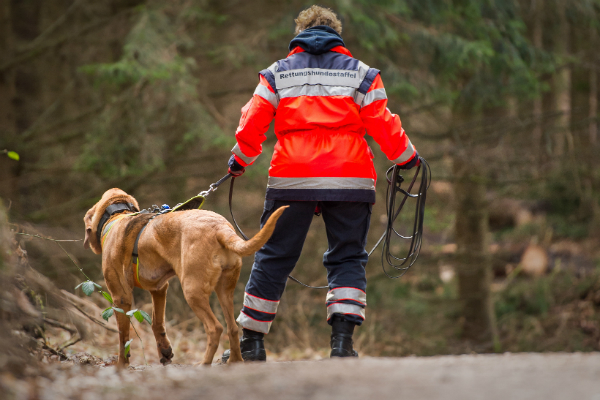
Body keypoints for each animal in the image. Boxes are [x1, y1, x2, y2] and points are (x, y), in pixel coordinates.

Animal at [83, 189, 288, 368]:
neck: (117, 215)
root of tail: (221, 228)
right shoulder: (159, 289)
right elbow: (157, 323)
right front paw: (165, 352)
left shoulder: (121, 297)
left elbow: (123, 339)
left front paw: (121, 365)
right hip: (224, 291)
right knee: (233, 328)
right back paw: (234, 361)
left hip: (192, 291)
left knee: (215, 328)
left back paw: (204, 363)